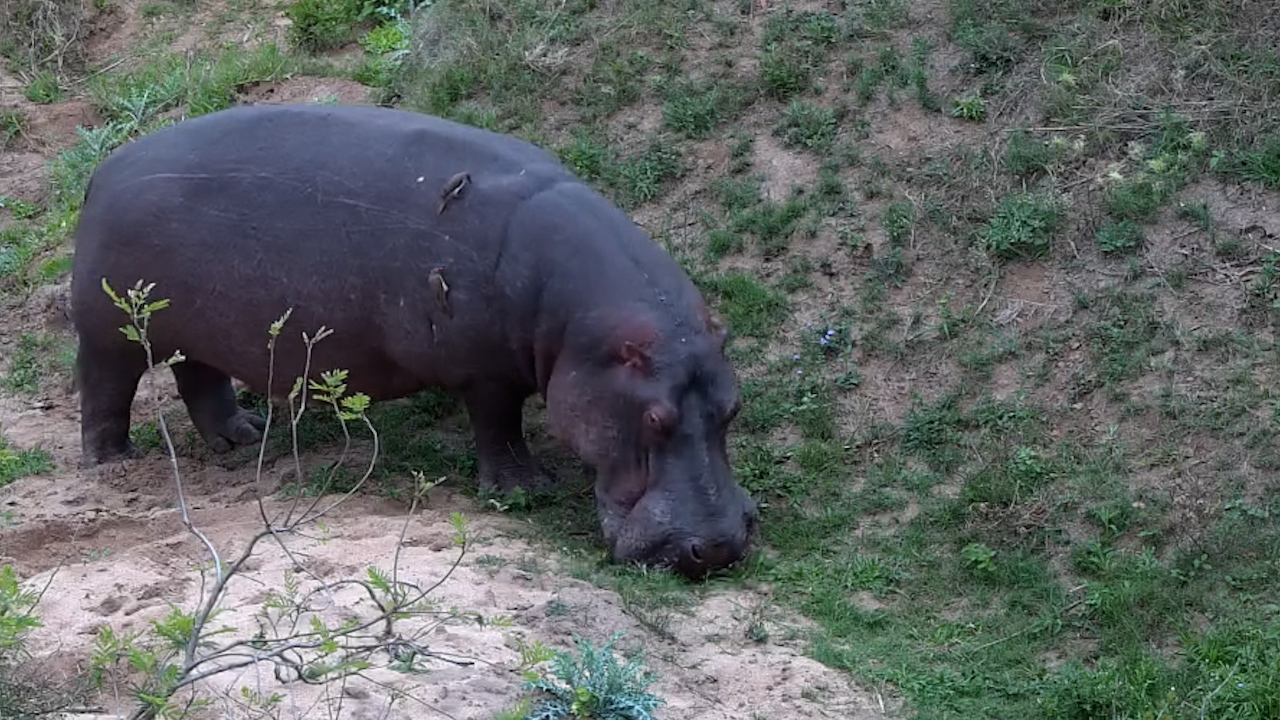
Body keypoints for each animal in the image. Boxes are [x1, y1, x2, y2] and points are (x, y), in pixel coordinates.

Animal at [68, 103, 758, 579]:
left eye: (732, 408)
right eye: (655, 419)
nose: (720, 547)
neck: (577, 322)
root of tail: (102, 170)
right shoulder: (486, 371)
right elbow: (498, 424)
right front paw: (524, 491)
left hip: (195, 326)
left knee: (198, 376)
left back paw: (242, 438)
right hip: (108, 334)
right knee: (105, 389)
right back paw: (114, 462)